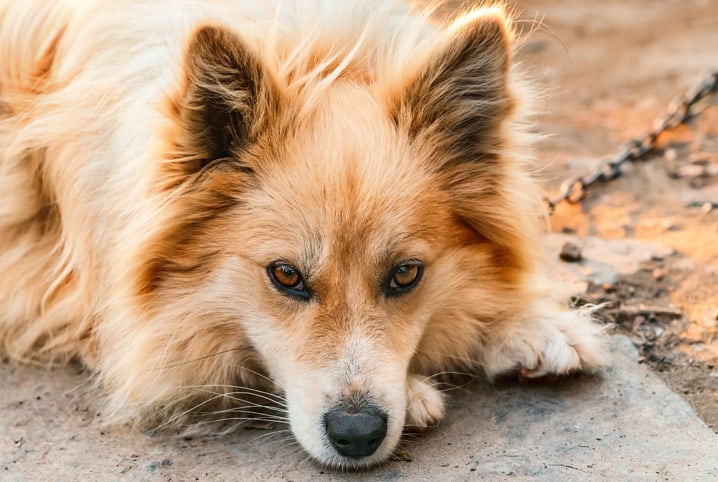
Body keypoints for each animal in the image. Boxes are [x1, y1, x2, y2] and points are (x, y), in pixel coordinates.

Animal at [0, 0, 608, 466]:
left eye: (406, 274)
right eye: (286, 275)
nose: (358, 436)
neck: (317, 55)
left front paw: (528, 324)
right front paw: (419, 389)